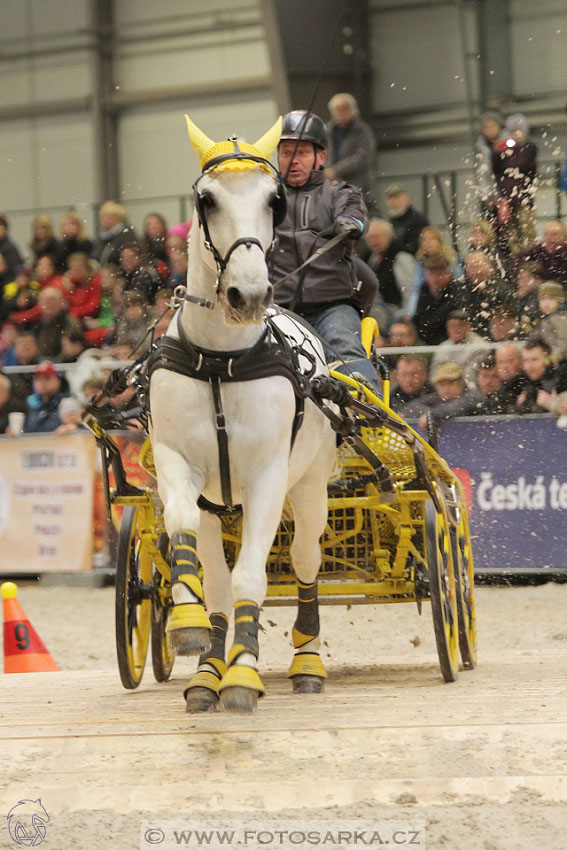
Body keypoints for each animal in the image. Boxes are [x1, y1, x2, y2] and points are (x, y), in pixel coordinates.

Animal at [149, 112, 340, 708]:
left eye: (274, 201)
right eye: (206, 199)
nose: (248, 295)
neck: (220, 361)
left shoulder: (266, 478)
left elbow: (251, 579)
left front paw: (243, 675)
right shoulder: (178, 464)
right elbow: (188, 535)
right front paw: (192, 634)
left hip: (309, 488)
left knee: (304, 561)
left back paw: (307, 662)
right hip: (222, 506)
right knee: (216, 577)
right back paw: (208, 669)